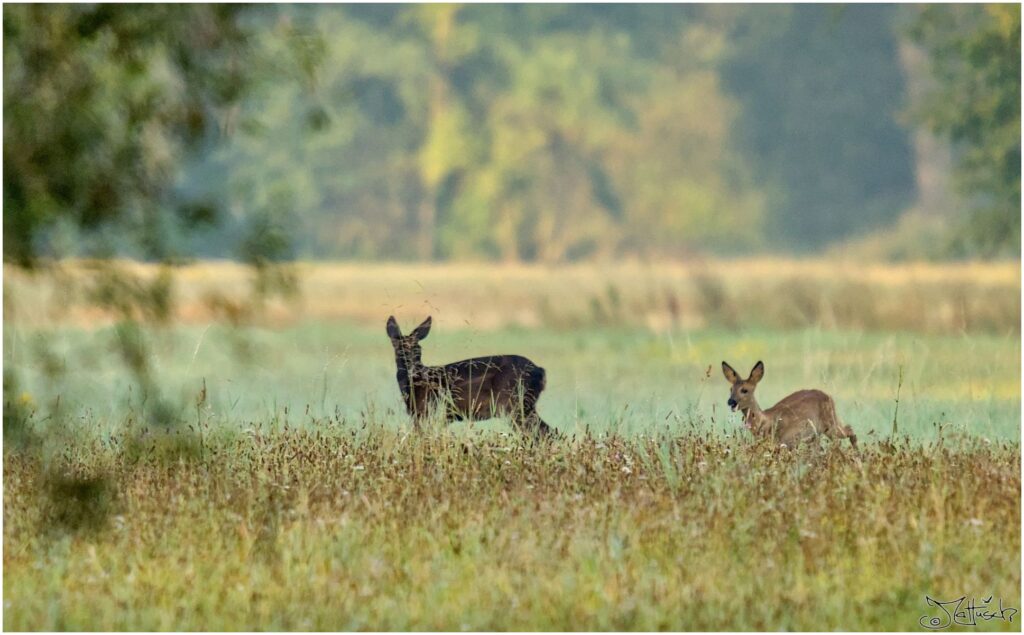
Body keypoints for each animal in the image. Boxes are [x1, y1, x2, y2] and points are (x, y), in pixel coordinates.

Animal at [385, 315, 552, 436]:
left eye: (419, 350)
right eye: (399, 350)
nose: (413, 368)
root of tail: (540, 371)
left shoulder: (427, 410)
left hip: (515, 404)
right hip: (524, 405)